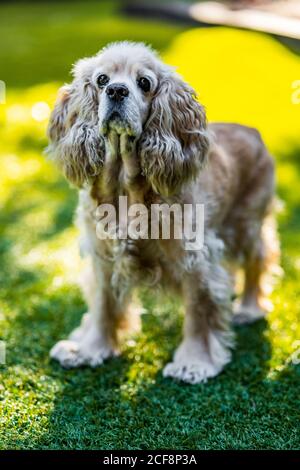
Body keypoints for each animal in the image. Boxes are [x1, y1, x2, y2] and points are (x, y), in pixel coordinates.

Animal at [47, 42, 278, 384]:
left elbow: (199, 312)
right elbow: (103, 306)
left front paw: (194, 362)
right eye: (102, 79)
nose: (116, 91)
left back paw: (249, 308)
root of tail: (251, 131)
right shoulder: (104, 256)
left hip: (246, 223)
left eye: (144, 83)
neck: (126, 190)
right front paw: (89, 349)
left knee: (257, 261)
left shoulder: (194, 259)